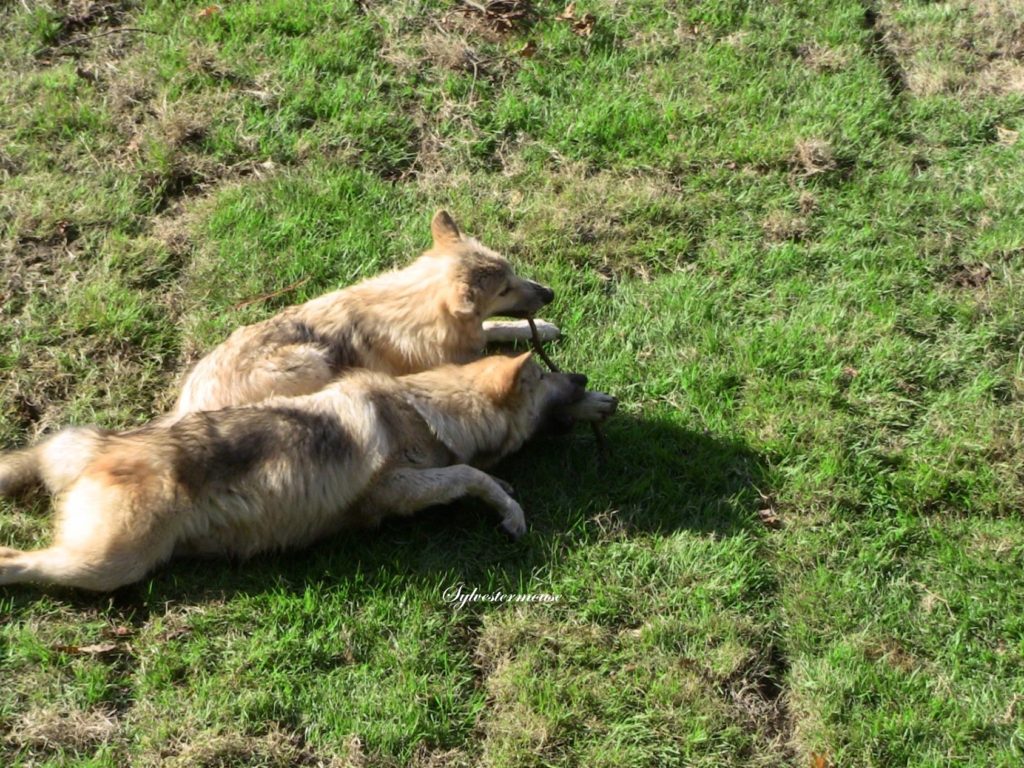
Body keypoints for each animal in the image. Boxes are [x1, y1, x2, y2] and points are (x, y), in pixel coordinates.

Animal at [0, 352, 614, 593]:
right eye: (544, 378)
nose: (585, 379)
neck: (425, 411)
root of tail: (92, 447)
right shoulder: (397, 489)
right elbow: (472, 475)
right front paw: (511, 512)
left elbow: (481, 476)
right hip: (108, 565)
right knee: (18, 560)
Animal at [173, 208, 565, 421]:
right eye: (504, 290)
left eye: (512, 273)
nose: (550, 294)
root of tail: (184, 407)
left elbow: (494, 326)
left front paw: (542, 328)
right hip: (311, 361)